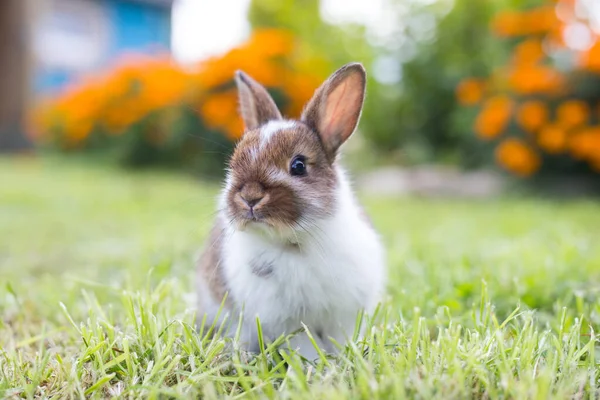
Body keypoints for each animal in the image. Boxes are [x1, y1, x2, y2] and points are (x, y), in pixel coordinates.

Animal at [195, 61, 386, 360]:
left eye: (298, 166)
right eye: (234, 164)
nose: (250, 197)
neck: (298, 241)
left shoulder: (343, 314)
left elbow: (339, 339)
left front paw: (341, 358)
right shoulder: (287, 322)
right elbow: (305, 345)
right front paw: (319, 364)